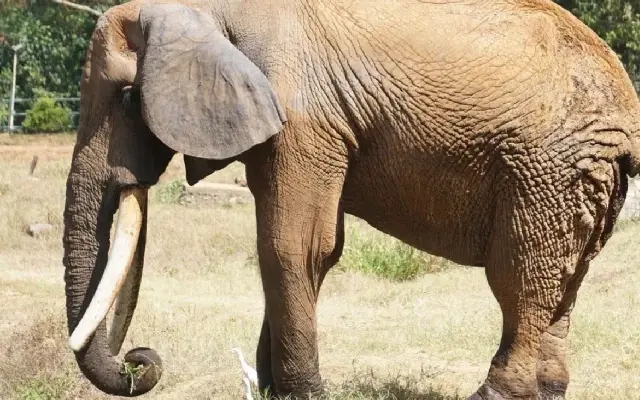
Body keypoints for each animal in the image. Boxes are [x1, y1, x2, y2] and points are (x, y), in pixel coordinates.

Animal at [61, 0, 640, 399]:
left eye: (129, 98)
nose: (139, 359)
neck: (207, 8)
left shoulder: (305, 117)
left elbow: (293, 246)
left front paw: (301, 393)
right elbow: (313, 248)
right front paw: (273, 389)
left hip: (546, 167)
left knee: (519, 277)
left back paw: (492, 395)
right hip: (582, 175)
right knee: (564, 283)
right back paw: (548, 390)